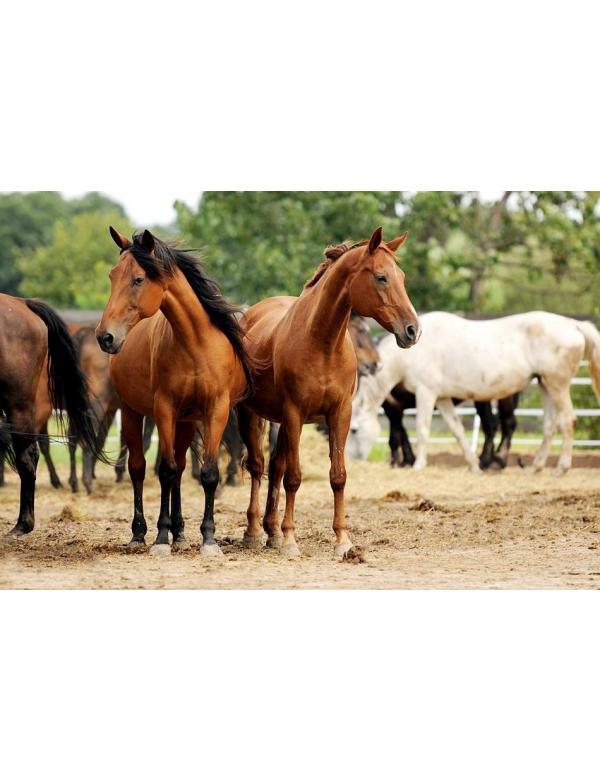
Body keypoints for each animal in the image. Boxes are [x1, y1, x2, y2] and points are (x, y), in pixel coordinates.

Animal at [96, 228, 253, 555]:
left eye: (138, 279)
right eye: (112, 275)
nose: (105, 337)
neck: (195, 344)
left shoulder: (215, 411)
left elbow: (207, 473)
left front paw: (208, 538)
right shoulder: (164, 410)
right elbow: (164, 471)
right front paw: (160, 537)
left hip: (186, 421)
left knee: (180, 467)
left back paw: (180, 533)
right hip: (132, 412)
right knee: (139, 468)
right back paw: (140, 533)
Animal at [237, 227, 420, 558]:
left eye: (401, 276)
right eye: (381, 277)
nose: (412, 330)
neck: (321, 343)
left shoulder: (340, 414)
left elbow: (338, 476)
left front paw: (342, 540)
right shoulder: (294, 413)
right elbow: (294, 478)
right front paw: (291, 540)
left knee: (275, 466)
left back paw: (272, 531)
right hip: (251, 415)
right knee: (258, 466)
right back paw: (255, 531)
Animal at [381, 386, 521, 469]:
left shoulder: (392, 403)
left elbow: (395, 435)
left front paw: (396, 462)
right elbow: (402, 432)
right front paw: (407, 460)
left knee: (505, 423)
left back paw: (495, 460)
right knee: (493, 424)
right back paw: (486, 460)